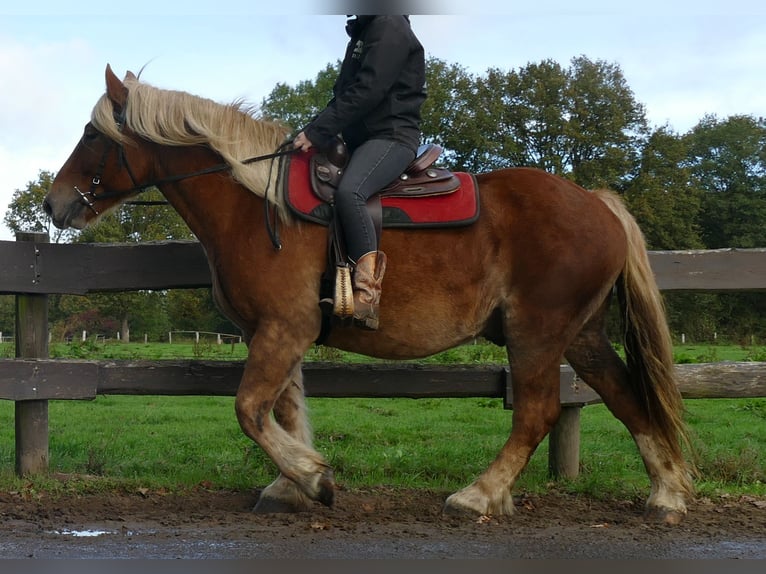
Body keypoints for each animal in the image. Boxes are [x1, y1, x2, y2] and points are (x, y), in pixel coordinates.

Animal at [44, 65, 692, 524]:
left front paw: (312, 477)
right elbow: (285, 407)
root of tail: (597, 203)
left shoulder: (283, 329)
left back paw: (478, 495)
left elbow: (250, 410)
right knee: (626, 397)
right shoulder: (276, 333)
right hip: (580, 334)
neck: (256, 206)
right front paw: (291, 485)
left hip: (537, 331)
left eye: (92, 134)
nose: (53, 203)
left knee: (536, 412)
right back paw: (665, 493)